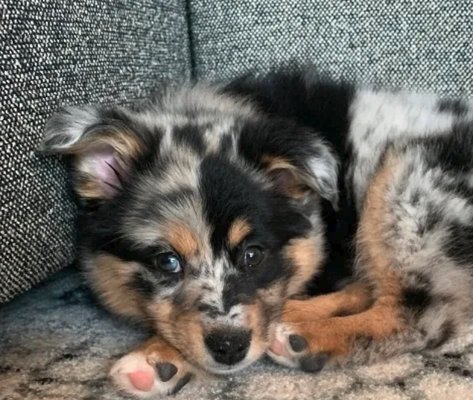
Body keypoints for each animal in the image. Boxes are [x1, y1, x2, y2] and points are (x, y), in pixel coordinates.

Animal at [41, 69, 472, 396]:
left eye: (253, 254)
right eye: (167, 262)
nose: (230, 347)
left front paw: (154, 355)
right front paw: (164, 360)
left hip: (405, 179)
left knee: (419, 316)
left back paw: (304, 336)